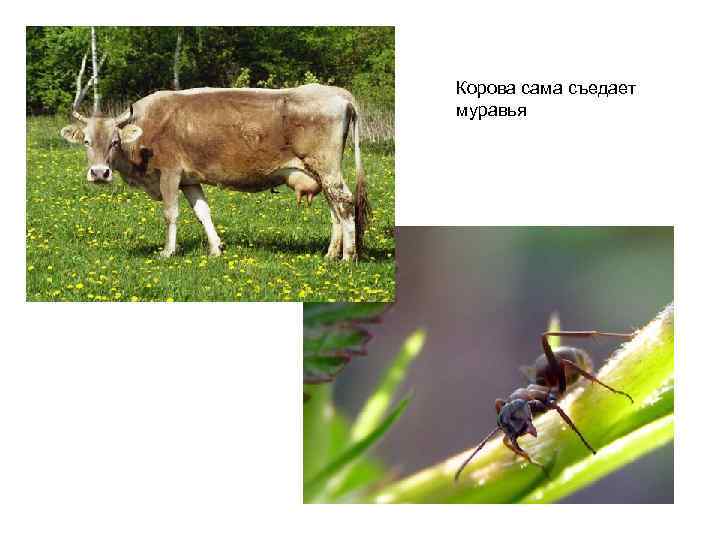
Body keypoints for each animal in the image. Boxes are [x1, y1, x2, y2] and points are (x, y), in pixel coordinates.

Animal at [60, 84, 370, 261]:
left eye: (114, 141)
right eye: (86, 141)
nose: (99, 173)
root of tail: (337, 93)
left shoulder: (169, 173)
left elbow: (171, 213)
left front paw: (167, 252)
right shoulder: (189, 180)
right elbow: (203, 213)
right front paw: (215, 249)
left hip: (327, 168)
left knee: (344, 203)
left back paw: (348, 257)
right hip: (320, 173)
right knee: (335, 210)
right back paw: (330, 254)